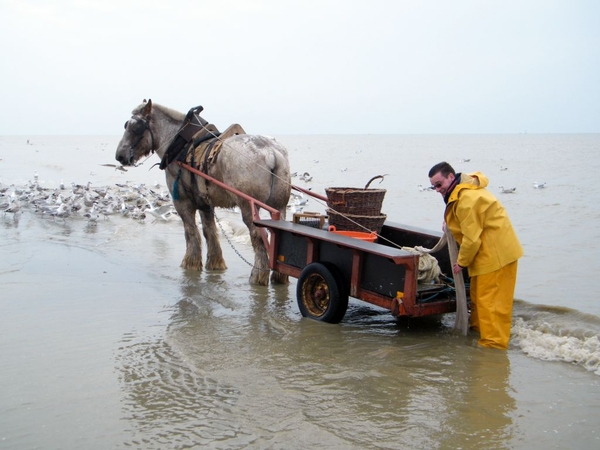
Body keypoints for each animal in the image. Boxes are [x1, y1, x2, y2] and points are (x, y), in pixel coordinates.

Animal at [113, 100, 292, 286]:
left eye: (134, 127)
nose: (120, 156)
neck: (181, 146)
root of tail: (271, 152)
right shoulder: (205, 204)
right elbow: (209, 231)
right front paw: (215, 263)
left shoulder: (182, 203)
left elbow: (191, 232)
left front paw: (190, 263)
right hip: (280, 207)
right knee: (278, 236)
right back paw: (279, 277)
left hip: (249, 207)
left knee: (258, 237)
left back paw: (258, 276)